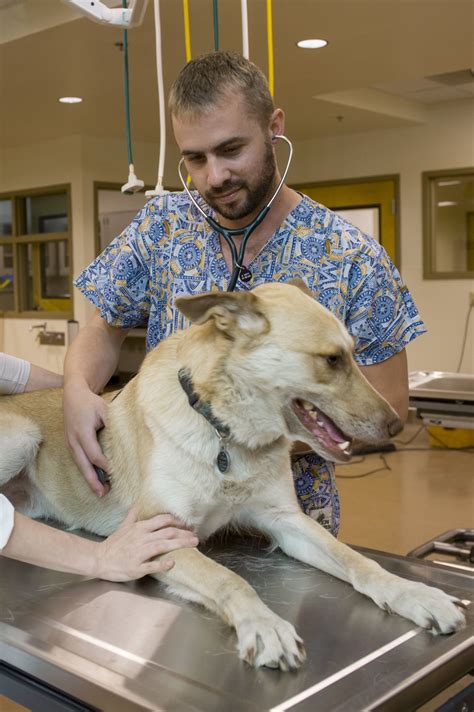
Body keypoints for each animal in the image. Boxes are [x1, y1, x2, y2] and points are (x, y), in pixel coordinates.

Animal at [0, 280, 466, 672]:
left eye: (354, 353)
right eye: (332, 360)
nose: (396, 426)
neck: (224, 432)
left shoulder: (286, 522)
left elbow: (358, 561)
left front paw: (413, 593)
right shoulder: (162, 534)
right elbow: (231, 578)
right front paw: (265, 626)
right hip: (24, 436)